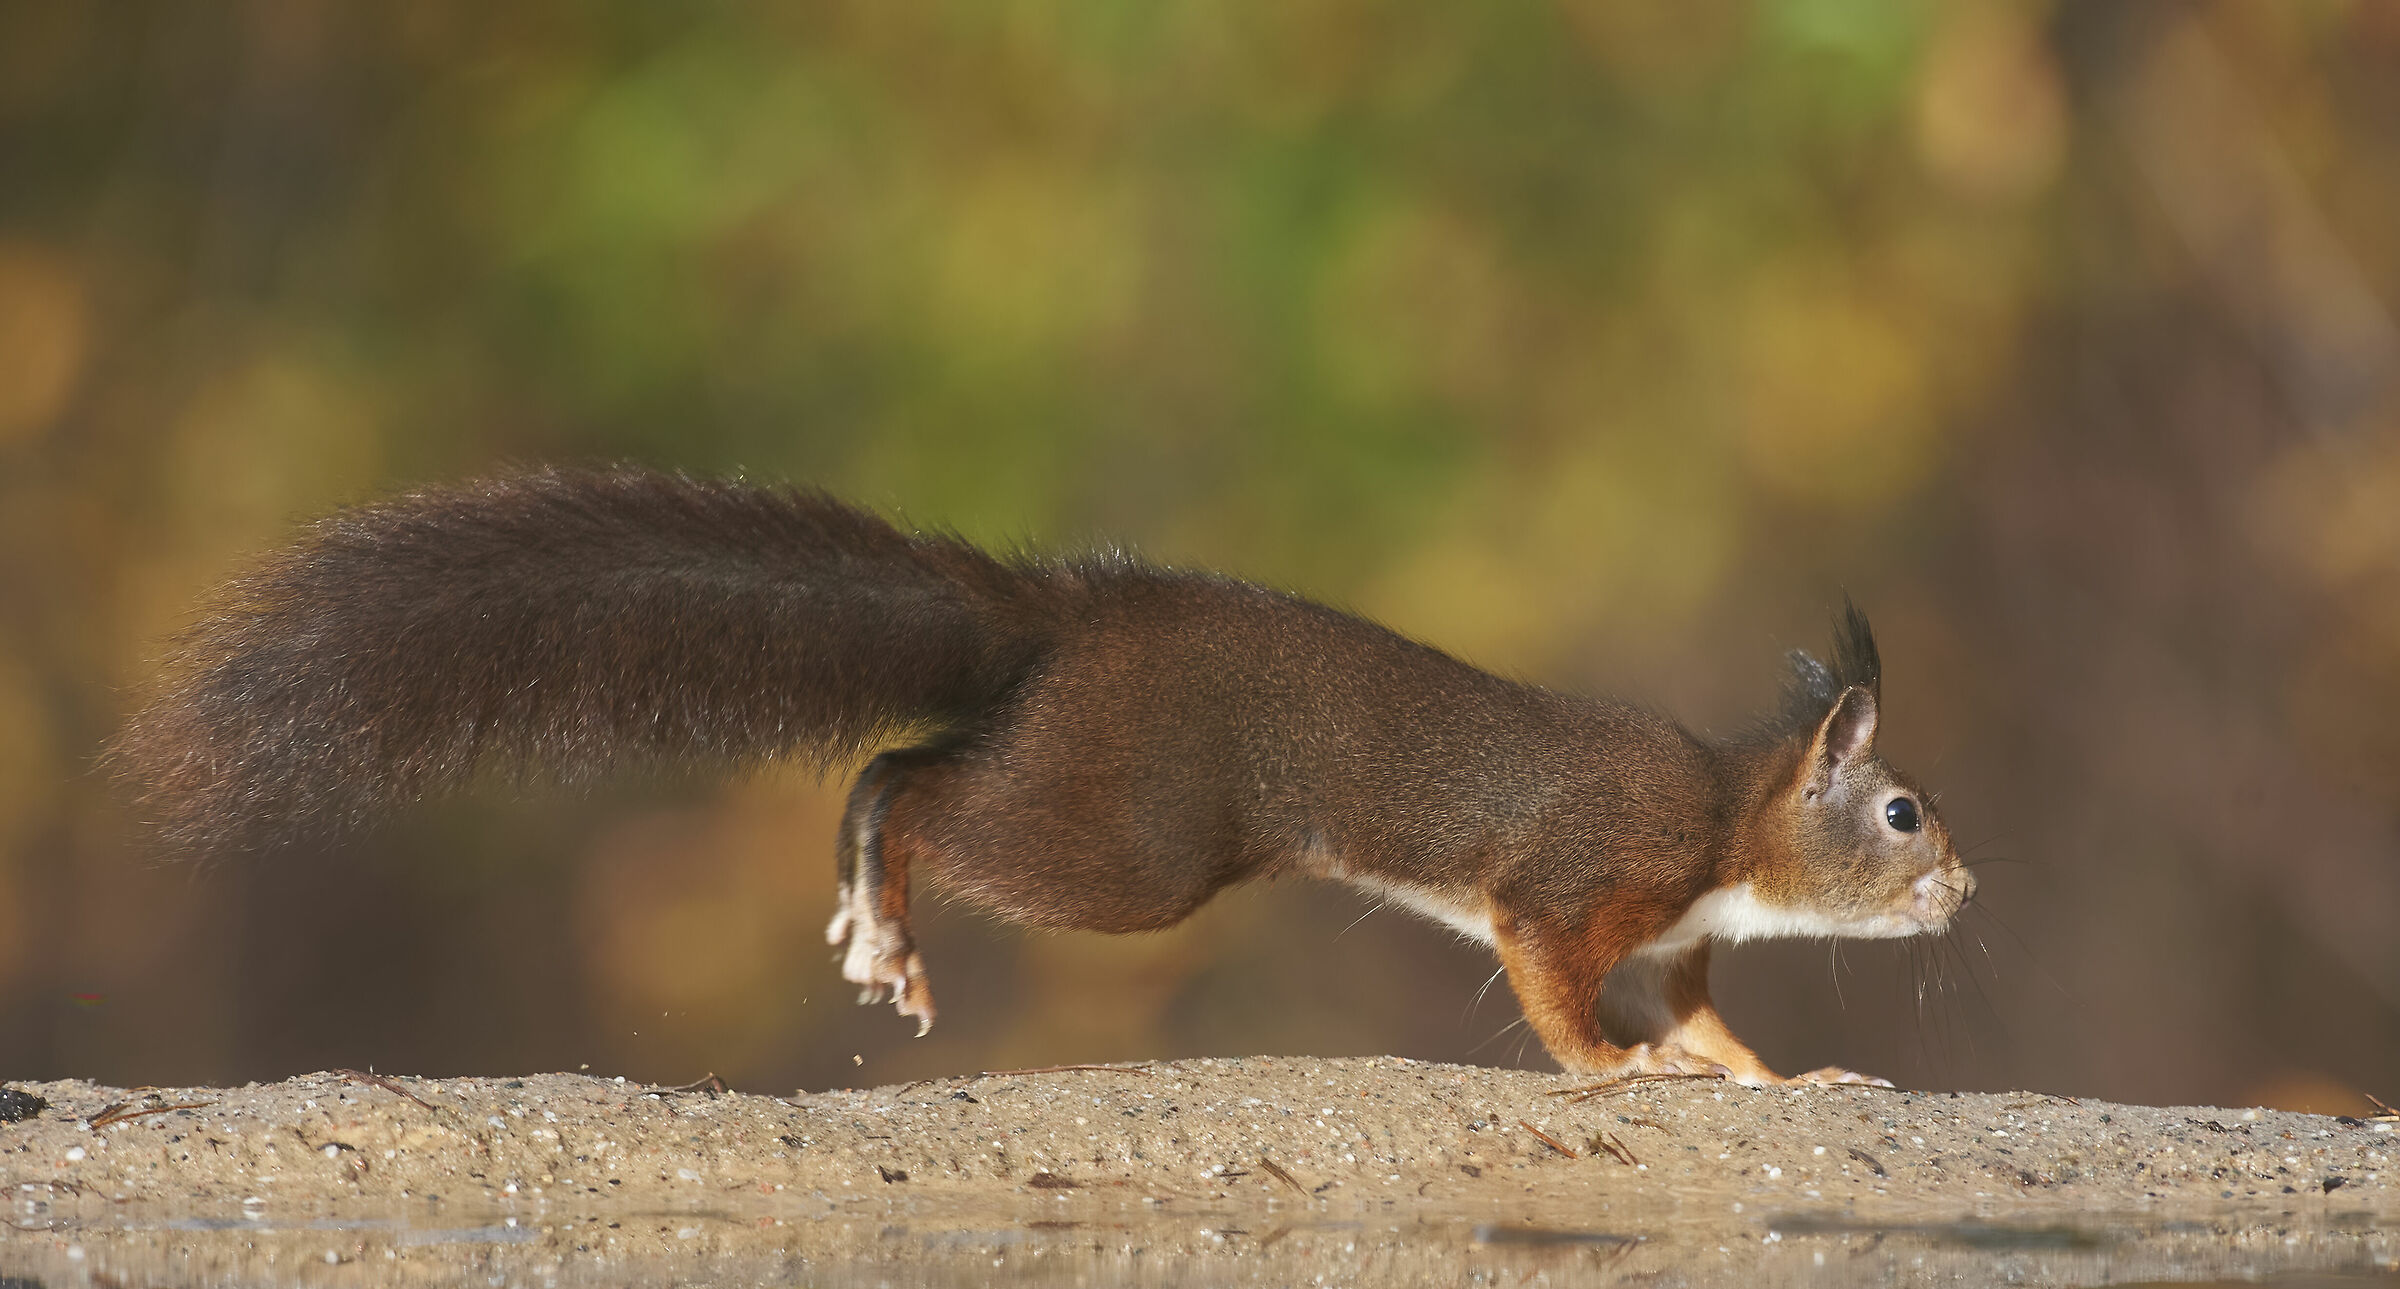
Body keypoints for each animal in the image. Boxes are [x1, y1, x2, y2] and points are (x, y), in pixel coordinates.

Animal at [115, 466, 1972, 1086]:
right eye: (1902, 811)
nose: (1967, 885)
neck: (1729, 823)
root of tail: (1067, 614)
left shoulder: (1672, 937)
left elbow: (1710, 1022)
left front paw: (1788, 1077)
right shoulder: (1582, 879)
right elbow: (1566, 994)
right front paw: (1610, 1077)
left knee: (905, 758)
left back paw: (871, 914)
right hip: (1131, 835)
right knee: (915, 777)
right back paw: (887, 905)